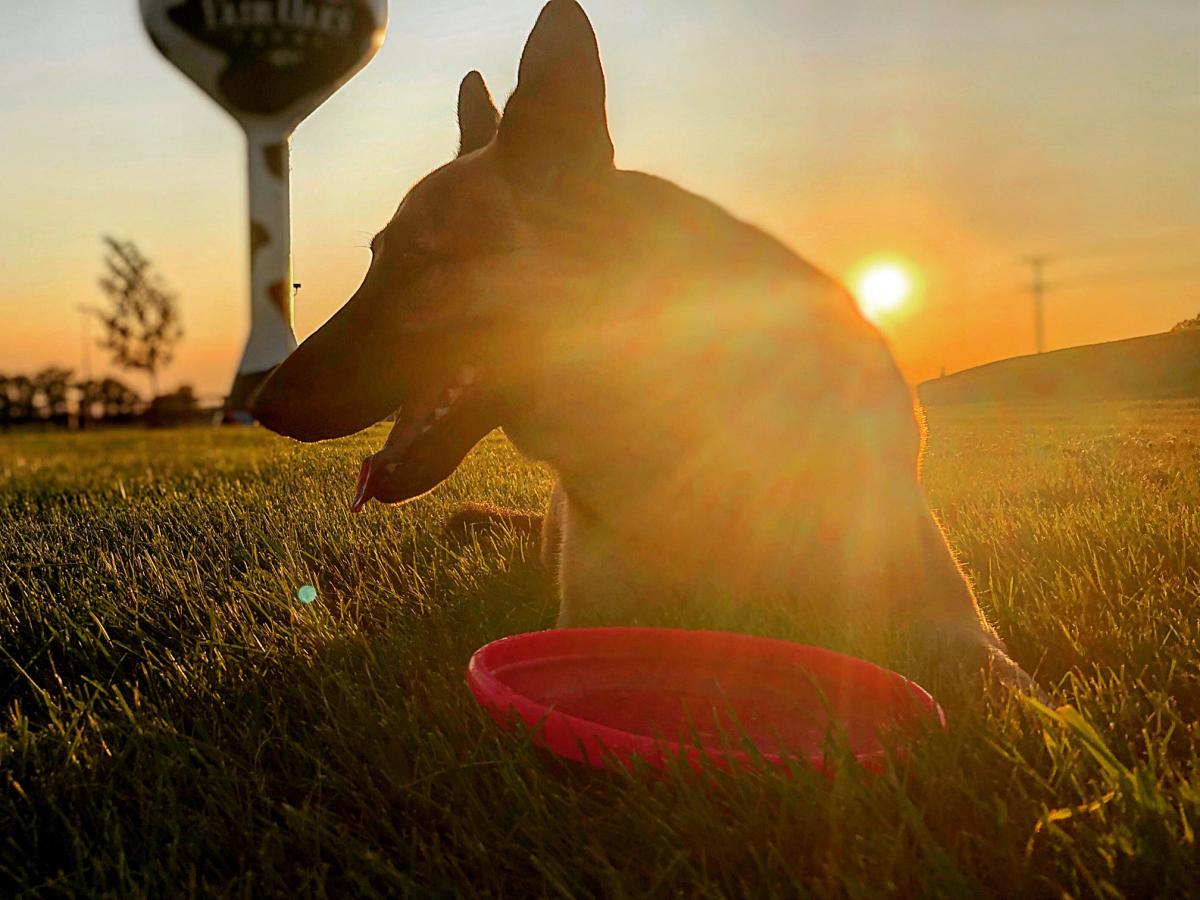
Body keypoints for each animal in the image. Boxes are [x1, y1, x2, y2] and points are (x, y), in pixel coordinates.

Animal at [253, 1, 1032, 691]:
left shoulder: (945, 608)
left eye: (415, 261)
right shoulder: (598, 618)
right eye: (376, 256)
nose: (262, 403)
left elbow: (999, 681)